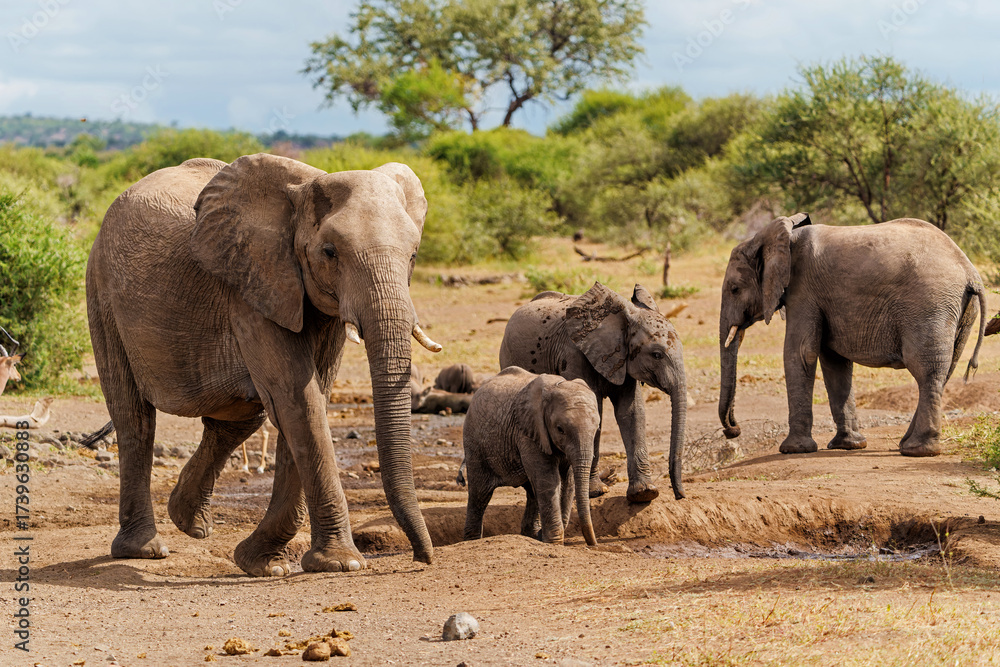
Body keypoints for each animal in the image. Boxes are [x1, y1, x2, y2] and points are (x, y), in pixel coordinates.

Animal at [85, 154, 442, 576]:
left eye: (414, 255)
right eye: (330, 252)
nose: (423, 558)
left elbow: (310, 399)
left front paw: (264, 564)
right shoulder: (252, 288)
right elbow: (298, 400)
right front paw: (341, 564)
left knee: (241, 416)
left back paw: (191, 523)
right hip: (102, 292)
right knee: (135, 419)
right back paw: (143, 550)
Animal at [462, 366, 599, 546]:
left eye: (597, 428)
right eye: (560, 429)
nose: (593, 544)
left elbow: (567, 481)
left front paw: (546, 539)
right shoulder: (529, 433)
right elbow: (548, 479)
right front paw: (554, 543)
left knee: (532, 492)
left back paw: (531, 535)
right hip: (475, 443)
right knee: (480, 494)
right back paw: (471, 540)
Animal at [499, 282, 687, 502]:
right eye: (656, 355)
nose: (680, 495)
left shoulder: (622, 358)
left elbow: (632, 412)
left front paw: (645, 493)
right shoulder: (574, 354)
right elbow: (593, 409)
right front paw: (595, 492)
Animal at [719, 214, 986, 457]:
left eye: (735, 289)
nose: (733, 430)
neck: (781, 236)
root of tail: (970, 271)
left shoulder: (802, 290)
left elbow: (801, 352)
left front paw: (793, 450)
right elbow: (834, 360)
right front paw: (849, 445)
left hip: (929, 304)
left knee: (926, 370)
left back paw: (918, 451)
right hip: (958, 309)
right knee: (945, 368)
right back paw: (906, 444)